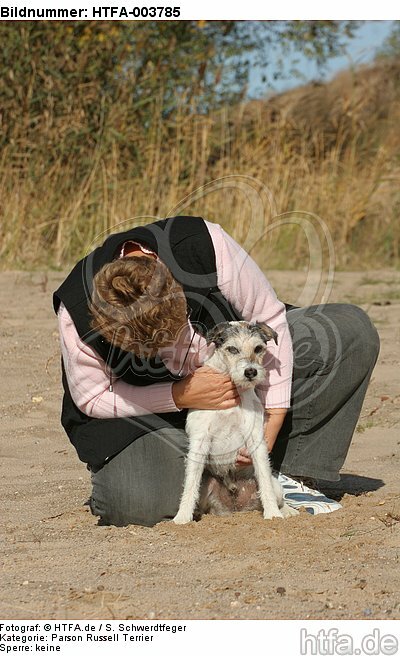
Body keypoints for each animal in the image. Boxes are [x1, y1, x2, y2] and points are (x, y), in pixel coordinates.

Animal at [173, 320, 298, 524]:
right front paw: (182, 518)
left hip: (276, 486)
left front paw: (273, 515)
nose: (250, 371)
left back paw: (287, 511)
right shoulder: (199, 442)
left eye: (258, 348)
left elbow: (264, 480)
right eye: (232, 349)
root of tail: (235, 509)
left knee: (276, 494)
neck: (233, 390)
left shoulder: (256, 441)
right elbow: (190, 484)